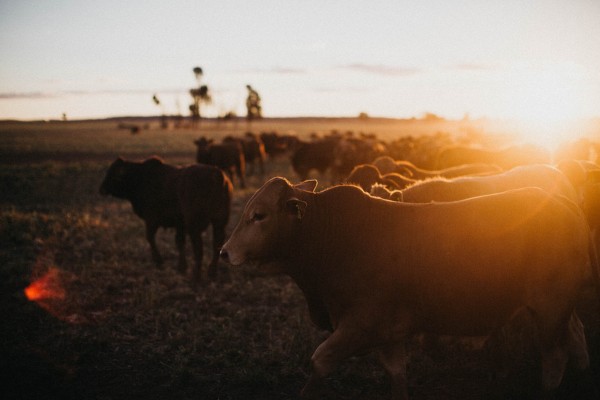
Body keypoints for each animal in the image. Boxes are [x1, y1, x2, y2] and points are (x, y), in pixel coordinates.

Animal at [98, 155, 232, 284]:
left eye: (114, 173)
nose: (101, 189)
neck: (141, 177)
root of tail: (217, 175)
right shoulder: (180, 224)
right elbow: (179, 242)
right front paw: (181, 267)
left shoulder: (151, 220)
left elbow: (150, 238)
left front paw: (159, 261)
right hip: (219, 222)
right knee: (217, 243)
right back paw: (212, 272)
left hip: (194, 226)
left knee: (199, 248)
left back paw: (197, 276)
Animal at [219, 178, 592, 400]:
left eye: (259, 215)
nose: (225, 252)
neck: (333, 236)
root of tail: (566, 205)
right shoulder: (388, 334)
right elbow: (397, 375)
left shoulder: (361, 325)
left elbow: (320, 361)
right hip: (561, 311)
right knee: (577, 340)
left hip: (549, 309)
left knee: (555, 358)